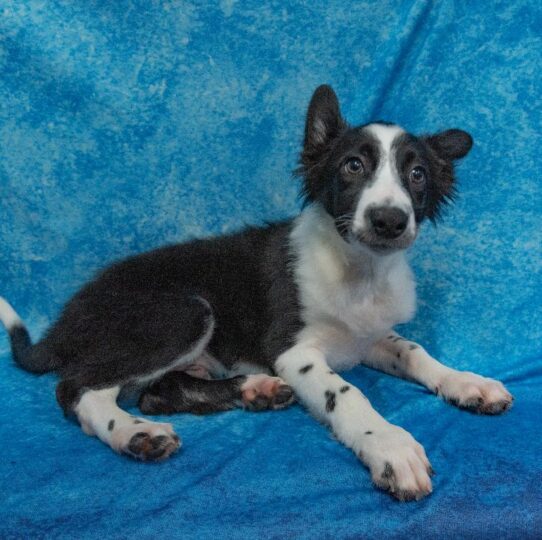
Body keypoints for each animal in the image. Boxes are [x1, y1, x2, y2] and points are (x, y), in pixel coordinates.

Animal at [0, 84, 516, 502]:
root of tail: (63, 322)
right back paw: (133, 433)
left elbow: (415, 351)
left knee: (157, 392)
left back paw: (254, 390)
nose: (389, 221)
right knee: (79, 388)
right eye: (353, 165)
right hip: (183, 314)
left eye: (418, 175)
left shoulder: (370, 337)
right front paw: (390, 445)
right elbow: (347, 393)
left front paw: (466, 382)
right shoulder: (294, 352)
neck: (360, 271)